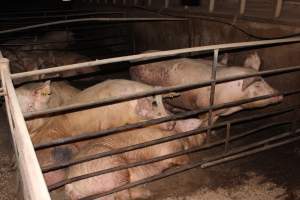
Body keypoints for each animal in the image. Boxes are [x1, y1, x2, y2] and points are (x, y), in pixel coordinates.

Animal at [130, 51, 282, 123]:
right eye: (258, 84)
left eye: (265, 80)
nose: (279, 94)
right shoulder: (203, 106)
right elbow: (202, 121)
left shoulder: (218, 112)